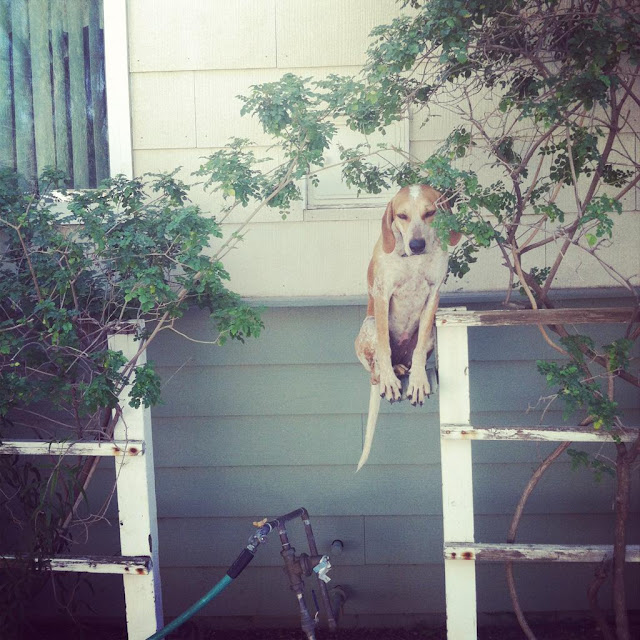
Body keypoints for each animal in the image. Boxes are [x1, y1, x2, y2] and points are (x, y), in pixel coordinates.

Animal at [356, 184, 460, 470]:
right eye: (401, 215)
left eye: (430, 212)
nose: (416, 245)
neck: (412, 262)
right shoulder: (382, 295)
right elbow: (383, 348)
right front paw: (391, 382)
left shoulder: (433, 295)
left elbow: (420, 348)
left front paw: (417, 381)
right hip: (369, 325)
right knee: (375, 369)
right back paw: (388, 373)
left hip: (431, 333)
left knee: (411, 357)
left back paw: (406, 368)